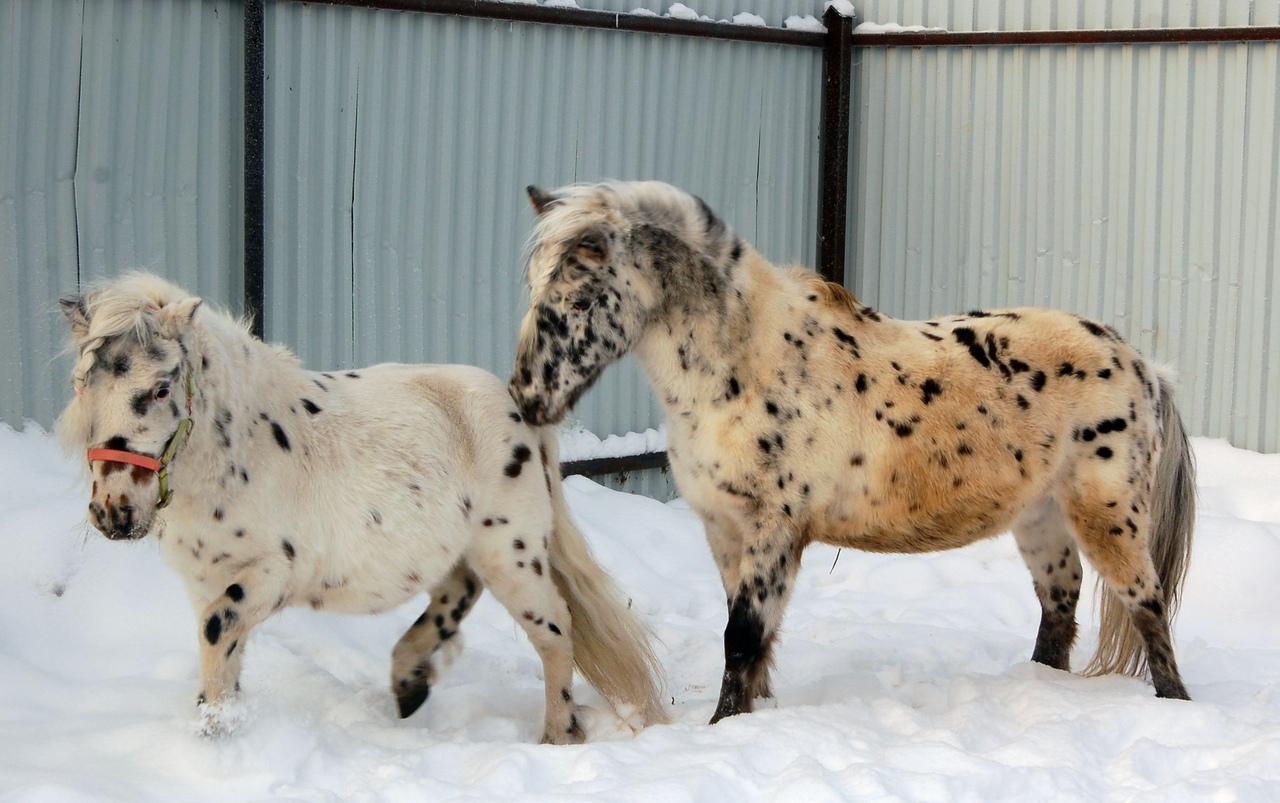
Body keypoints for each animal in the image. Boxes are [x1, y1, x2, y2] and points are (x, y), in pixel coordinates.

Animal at [55, 272, 665, 742]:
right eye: (83, 384)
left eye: (161, 389)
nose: (114, 511)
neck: (237, 452)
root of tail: (518, 405)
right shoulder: (208, 581)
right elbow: (223, 658)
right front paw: (220, 730)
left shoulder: (268, 575)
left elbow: (215, 635)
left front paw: (213, 737)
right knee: (457, 590)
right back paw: (409, 682)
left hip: (510, 550)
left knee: (555, 629)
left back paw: (558, 734)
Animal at [509, 185, 1198, 727]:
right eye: (534, 291)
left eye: (577, 300)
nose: (527, 396)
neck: (748, 365)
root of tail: (1144, 366)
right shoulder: (724, 529)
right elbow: (751, 640)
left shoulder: (774, 529)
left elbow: (742, 637)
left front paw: (723, 726)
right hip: (1041, 520)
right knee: (1059, 609)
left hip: (1107, 516)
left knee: (1148, 606)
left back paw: (1175, 703)